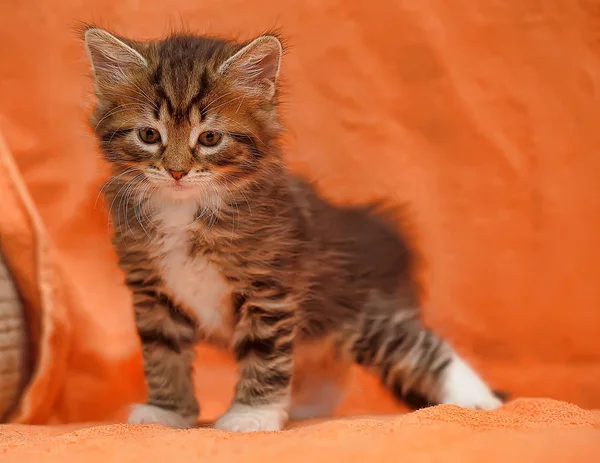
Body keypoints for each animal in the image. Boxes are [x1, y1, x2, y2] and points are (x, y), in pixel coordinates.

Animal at [81, 27, 502, 434]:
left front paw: (252, 415)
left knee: (422, 349)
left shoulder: (269, 288)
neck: (185, 209)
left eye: (210, 138)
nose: (177, 171)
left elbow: (265, 354)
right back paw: (305, 408)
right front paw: (168, 411)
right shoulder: (152, 290)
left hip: (360, 312)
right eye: (149, 136)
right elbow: (163, 353)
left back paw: (478, 401)